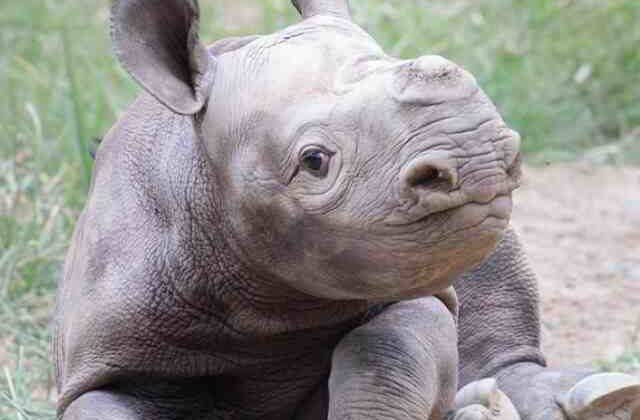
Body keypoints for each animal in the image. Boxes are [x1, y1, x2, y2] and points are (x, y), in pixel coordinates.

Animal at [54, 0, 640, 419]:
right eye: (314, 161)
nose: (480, 154)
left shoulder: (409, 286)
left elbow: (385, 360)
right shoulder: (107, 361)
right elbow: (105, 405)